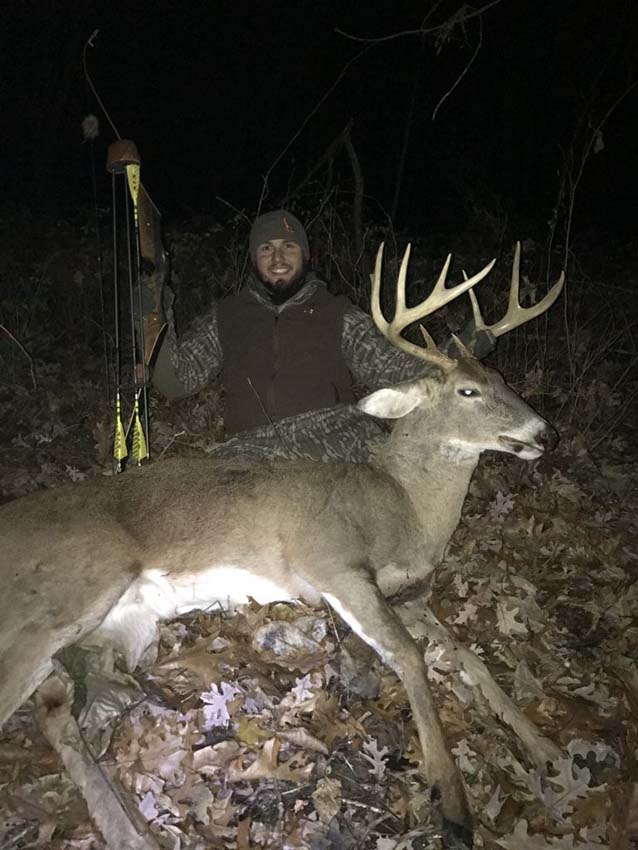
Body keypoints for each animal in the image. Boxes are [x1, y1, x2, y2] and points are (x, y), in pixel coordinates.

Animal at [0, 243, 564, 850]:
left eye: (501, 377)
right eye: (468, 391)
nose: (544, 434)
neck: (404, 507)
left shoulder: (410, 593)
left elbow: (471, 659)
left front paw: (545, 748)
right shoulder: (333, 564)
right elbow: (410, 657)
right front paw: (453, 805)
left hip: (118, 624)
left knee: (55, 706)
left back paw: (128, 828)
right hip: (72, 588)